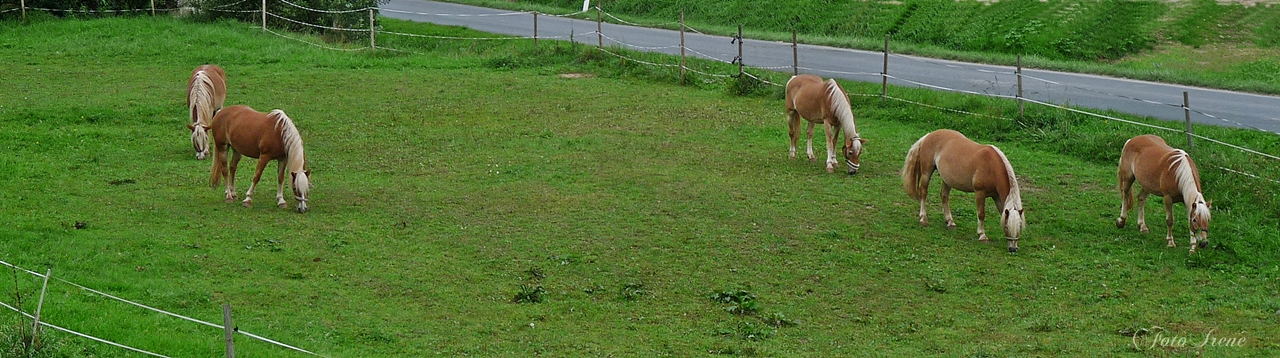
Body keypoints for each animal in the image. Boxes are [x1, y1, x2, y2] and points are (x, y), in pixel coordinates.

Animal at [901, 128, 1029, 251]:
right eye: (1007, 227)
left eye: (1020, 226)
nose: (1013, 249)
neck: (991, 167)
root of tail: (928, 135)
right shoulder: (980, 193)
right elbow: (981, 214)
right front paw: (982, 236)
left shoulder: (996, 196)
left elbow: (1001, 212)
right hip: (927, 172)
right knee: (923, 192)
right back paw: (923, 219)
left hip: (947, 180)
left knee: (944, 196)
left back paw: (950, 222)